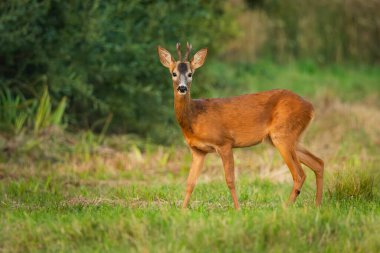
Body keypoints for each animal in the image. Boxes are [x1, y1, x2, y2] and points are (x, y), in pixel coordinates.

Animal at [157, 42, 324, 211]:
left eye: (190, 74)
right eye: (173, 73)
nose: (182, 88)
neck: (194, 117)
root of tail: (310, 107)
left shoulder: (224, 142)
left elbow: (230, 180)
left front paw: (238, 209)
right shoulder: (198, 151)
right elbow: (190, 183)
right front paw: (183, 210)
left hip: (283, 134)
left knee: (299, 174)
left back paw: (286, 207)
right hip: (285, 137)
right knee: (318, 162)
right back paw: (317, 205)